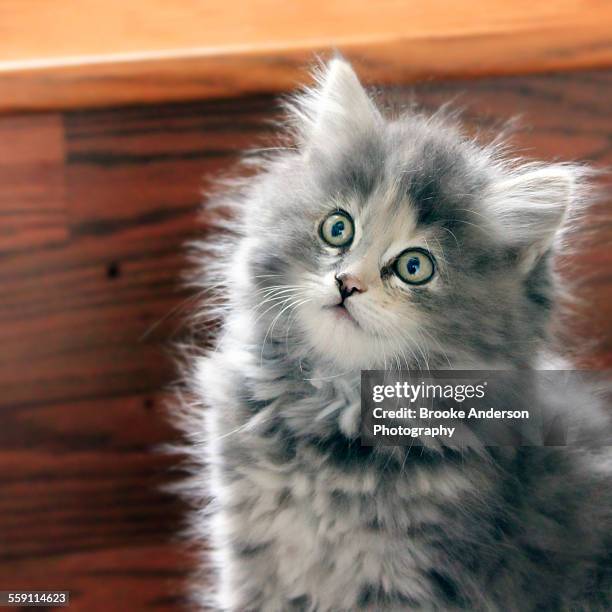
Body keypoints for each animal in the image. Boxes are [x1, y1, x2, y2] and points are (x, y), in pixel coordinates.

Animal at [178, 58, 612, 612]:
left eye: (414, 266)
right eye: (338, 228)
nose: (347, 283)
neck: (332, 421)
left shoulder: (409, 582)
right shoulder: (255, 562)